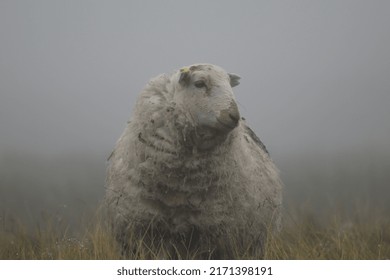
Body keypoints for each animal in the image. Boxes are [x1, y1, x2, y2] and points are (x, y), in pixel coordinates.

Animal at [105, 63, 282, 258]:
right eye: (199, 84)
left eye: (229, 84)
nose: (234, 115)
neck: (180, 186)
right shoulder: (146, 233)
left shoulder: (213, 237)